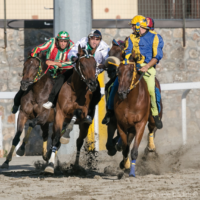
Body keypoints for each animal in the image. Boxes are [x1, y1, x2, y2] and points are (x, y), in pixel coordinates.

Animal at [44, 45, 99, 173]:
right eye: (82, 65)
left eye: (95, 64)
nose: (93, 84)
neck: (75, 90)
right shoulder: (59, 114)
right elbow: (56, 138)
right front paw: (50, 165)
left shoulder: (82, 112)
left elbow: (77, 112)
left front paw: (66, 136)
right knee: (55, 136)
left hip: (84, 125)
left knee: (79, 141)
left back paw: (76, 165)